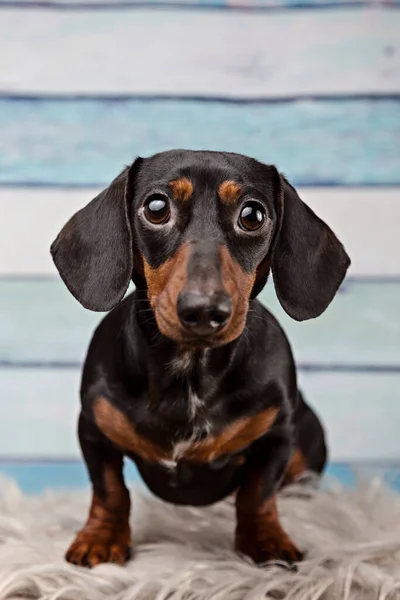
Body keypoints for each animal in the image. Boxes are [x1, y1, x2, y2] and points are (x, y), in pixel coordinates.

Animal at [50, 149, 350, 568]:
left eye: (253, 215)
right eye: (156, 208)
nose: (204, 310)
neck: (190, 371)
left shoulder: (277, 435)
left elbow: (258, 494)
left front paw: (267, 542)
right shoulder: (94, 427)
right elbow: (109, 490)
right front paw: (101, 539)